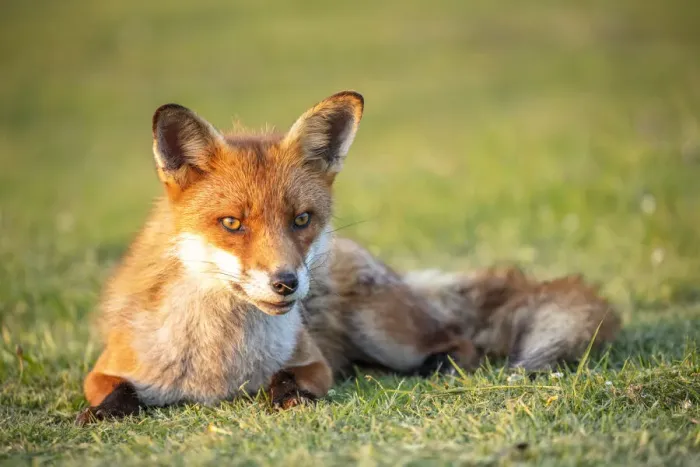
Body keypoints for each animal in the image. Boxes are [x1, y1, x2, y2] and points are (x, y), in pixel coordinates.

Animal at [76, 90, 620, 425]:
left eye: (301, 219)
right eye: (232, 224)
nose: (287, 282)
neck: (219, 364)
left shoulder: (314, 361)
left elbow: (292, 378)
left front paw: (287, 397)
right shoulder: (106, 368)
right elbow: (114, 391)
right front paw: (101, 415)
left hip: (384, 333)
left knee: (459, 340)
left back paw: (438, 366)